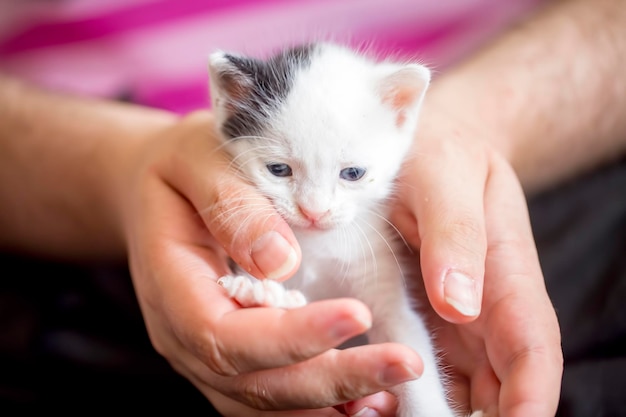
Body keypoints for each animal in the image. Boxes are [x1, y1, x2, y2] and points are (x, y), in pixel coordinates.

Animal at [207, 42, 480, 416]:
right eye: (278, 169)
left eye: (352, 174)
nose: (314, 211)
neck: (318, 247)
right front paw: (258, 295)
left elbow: (409, 344)